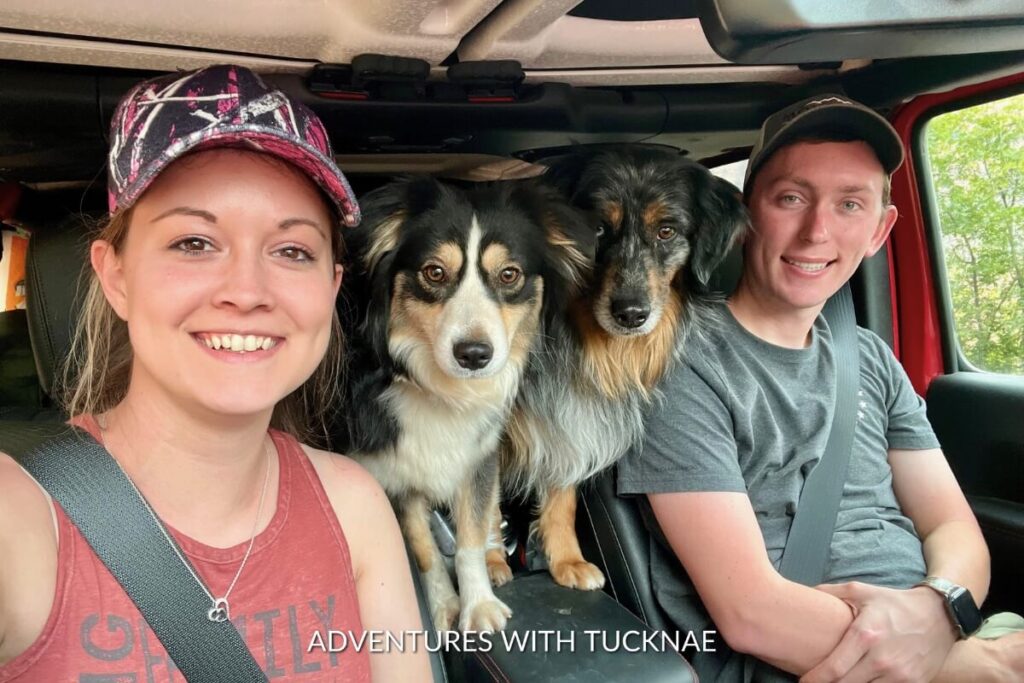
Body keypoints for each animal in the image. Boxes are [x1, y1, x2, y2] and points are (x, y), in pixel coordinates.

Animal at [337, 175, 593, 630]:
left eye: (509, 274)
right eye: (434, 272)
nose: (474, 355)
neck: (443, 392)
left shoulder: (479, 458)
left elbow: (471, 539)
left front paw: (479, 605)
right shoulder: (394, 474)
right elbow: (424, 549)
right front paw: (446, 607)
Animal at [491, 147, 749, 589]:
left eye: (666, 231)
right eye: (595, 228)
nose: (630, 314)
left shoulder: (571, 414)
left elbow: (563, 497)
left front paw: (566, 559)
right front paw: (487, 562)